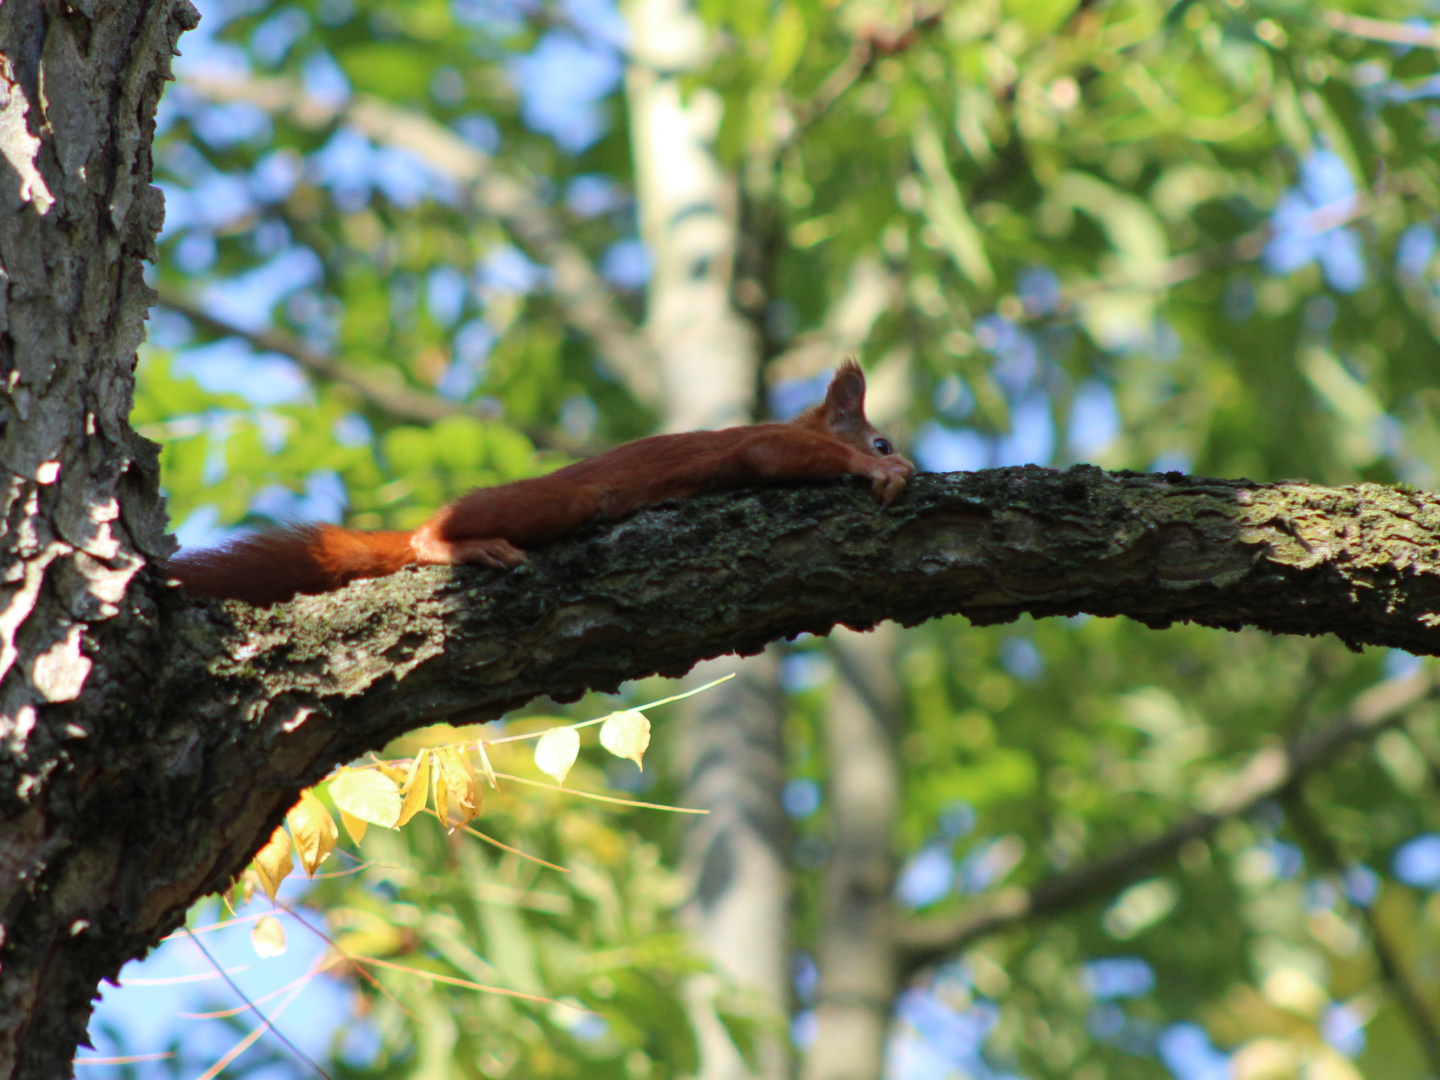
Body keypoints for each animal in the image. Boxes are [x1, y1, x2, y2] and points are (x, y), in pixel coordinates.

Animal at [168, 361, 910, 601]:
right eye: (880, 436)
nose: (891, 450)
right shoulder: (759, 443)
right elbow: (773, 456)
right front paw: (885, 471)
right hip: (561, 500)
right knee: (428, 538)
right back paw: (451, 544)